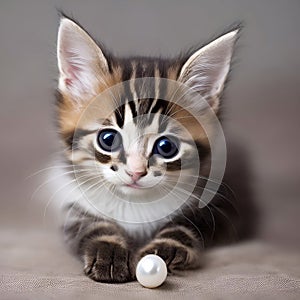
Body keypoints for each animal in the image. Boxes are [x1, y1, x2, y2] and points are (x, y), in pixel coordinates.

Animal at [54, 17, 253, 282]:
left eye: (166, 146)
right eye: (108, 139)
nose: (136, 172)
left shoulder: (221, 205)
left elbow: (186, 224)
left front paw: (167, 247)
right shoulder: (74, 201)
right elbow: (89, 223)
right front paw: (109, 251)